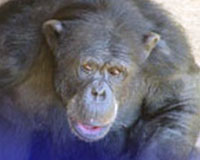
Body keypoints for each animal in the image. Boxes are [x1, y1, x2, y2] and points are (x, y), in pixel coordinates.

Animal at [0, 0, 200, 160]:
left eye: (115, 71)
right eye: (88, 67)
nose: (98, 93)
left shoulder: (169, 57)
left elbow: (177, 107)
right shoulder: (13, 47)